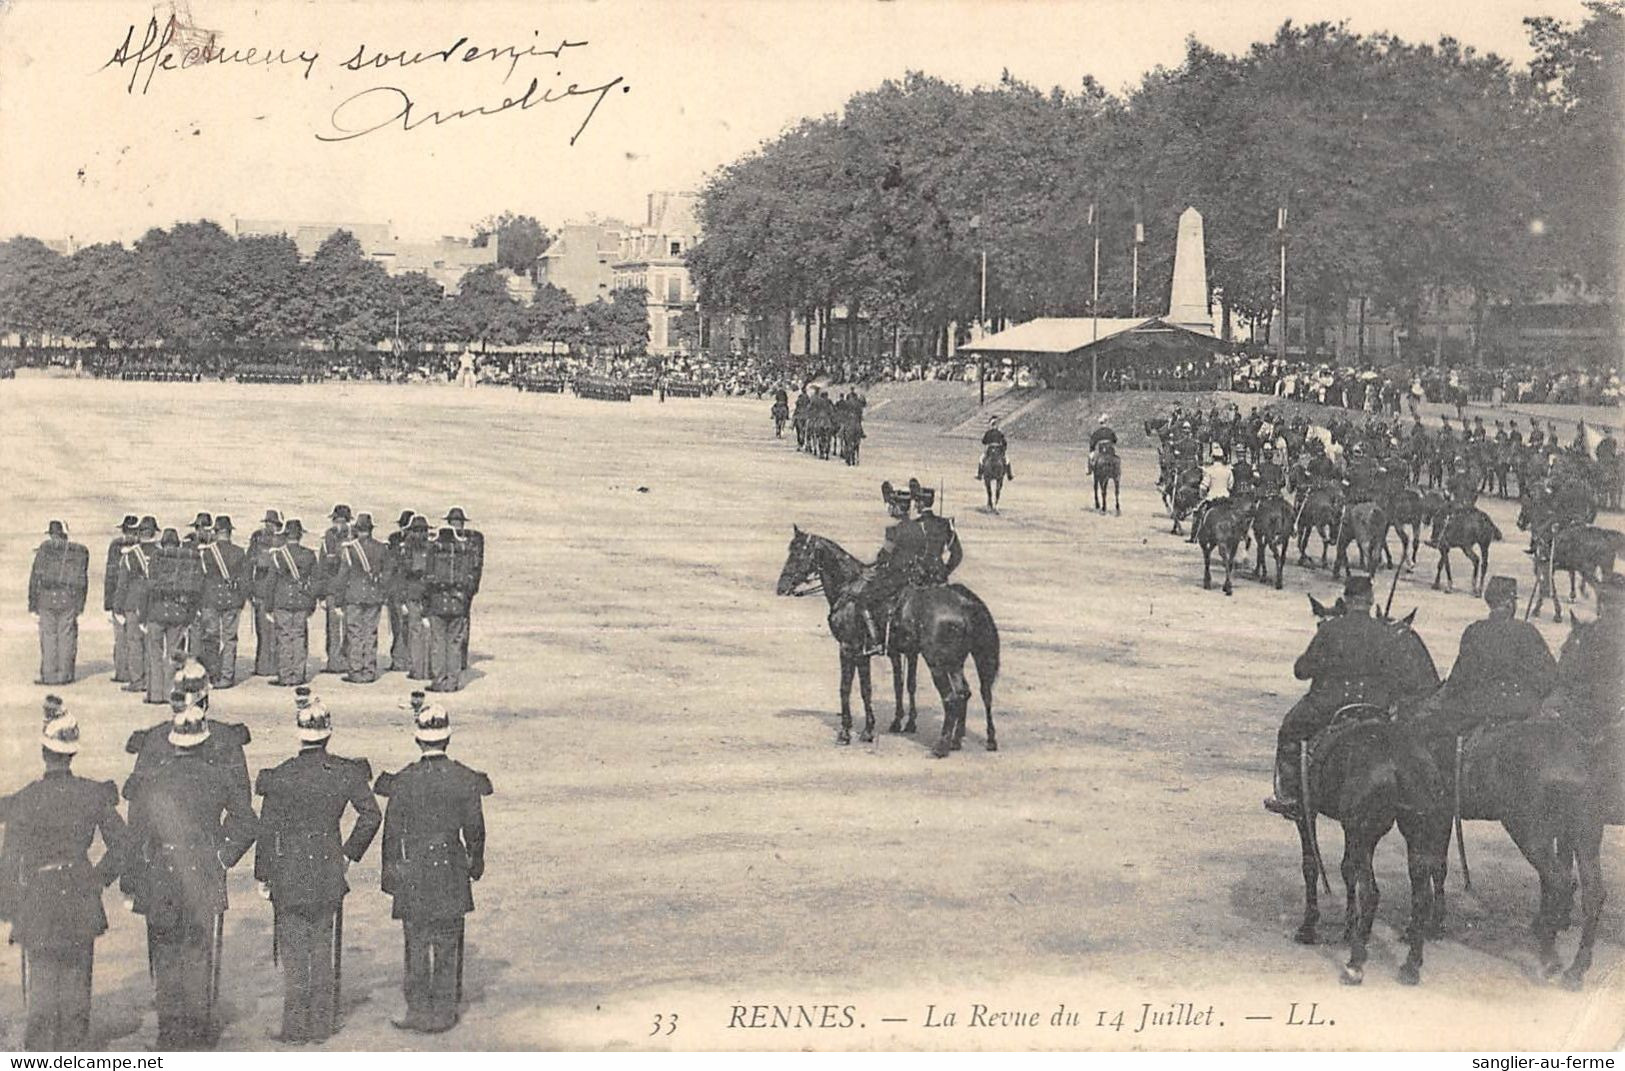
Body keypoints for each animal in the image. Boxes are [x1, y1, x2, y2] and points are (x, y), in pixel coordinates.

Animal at [776, 526, 994, 754]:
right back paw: (959, 740)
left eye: (797, 554)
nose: (781, 587)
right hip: (955, 661)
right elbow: (868, 689)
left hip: (937, 662)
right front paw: (869, 730)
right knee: (964, 692)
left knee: (951, 697)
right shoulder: (865, 654)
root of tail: (964, 603)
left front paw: (845, 733)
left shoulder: (848, 649)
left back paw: (941, 746)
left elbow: (846, 689)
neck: (848, 588)